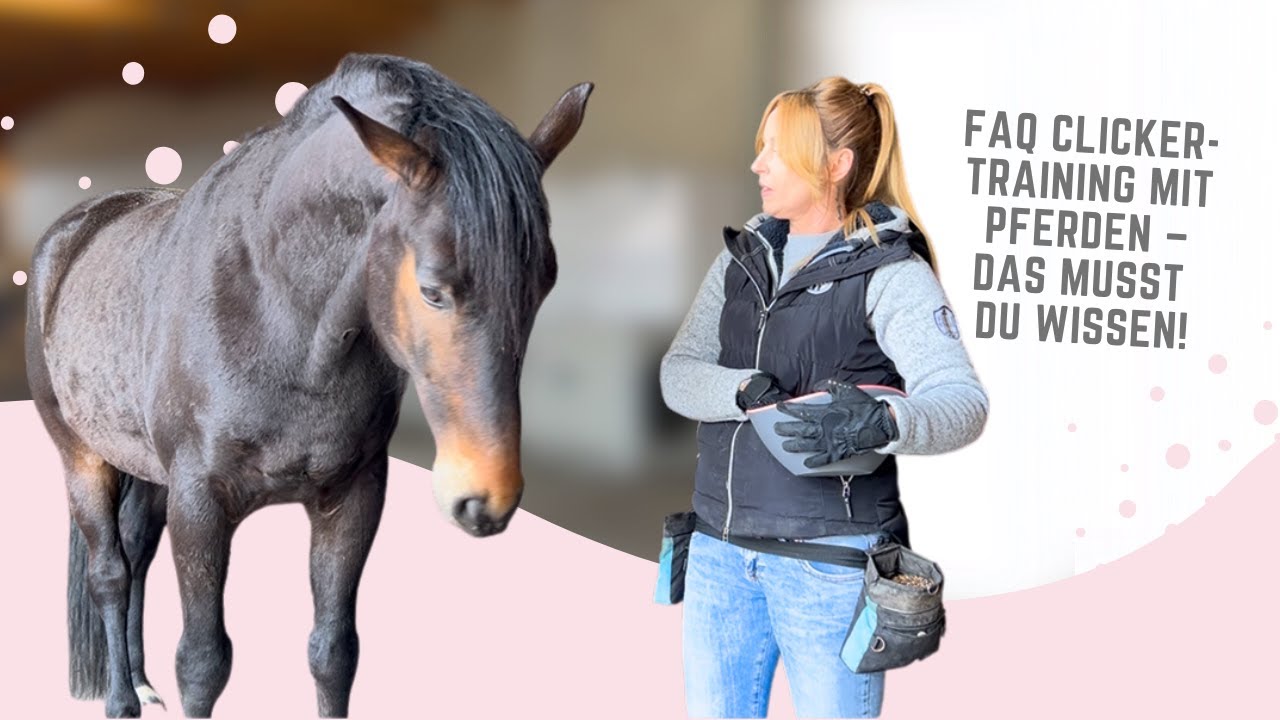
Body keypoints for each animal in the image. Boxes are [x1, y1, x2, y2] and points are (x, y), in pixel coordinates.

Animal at [23, 52, 592, 718]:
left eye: (544, 283)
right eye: (432, 289)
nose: (486, 498)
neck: (280, 316)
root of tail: (73, 229)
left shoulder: (352, 495)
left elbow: (332, 652)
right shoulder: (199, 502)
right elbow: (203, 662)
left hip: (144, 467)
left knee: (136, 555)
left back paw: (139, 681)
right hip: (83, 458)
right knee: (110, 573)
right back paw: (120, 699)